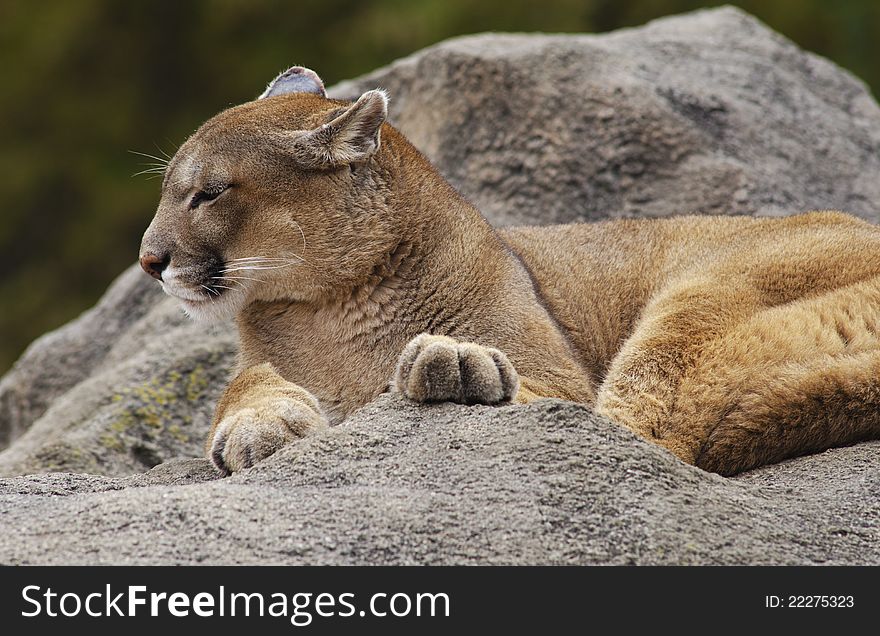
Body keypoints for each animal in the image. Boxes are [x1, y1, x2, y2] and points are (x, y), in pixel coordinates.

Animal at [139, 68, 880, 476]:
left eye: (207, 193)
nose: (149, 260)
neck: (328, 306)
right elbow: (240, 385)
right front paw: (257, 425)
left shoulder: (560, 374)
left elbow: (558, 405)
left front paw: (456, 363)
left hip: (699, 300)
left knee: (639, 437)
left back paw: (452, 369)